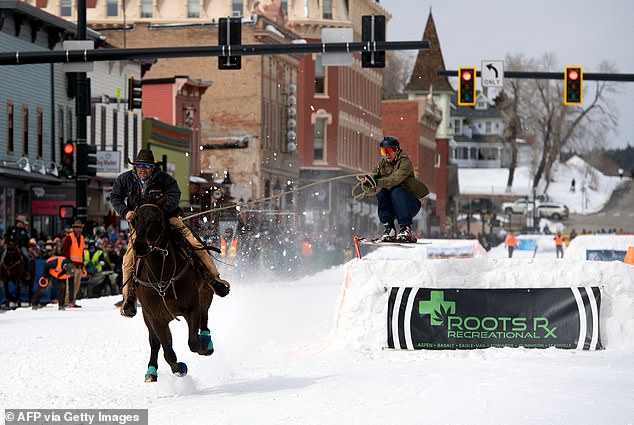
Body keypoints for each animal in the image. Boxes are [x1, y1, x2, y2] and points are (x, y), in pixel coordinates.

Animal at [130, 202, 215, 380]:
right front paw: (180, 368)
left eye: (157, 220)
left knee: (204, 316)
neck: (162, 277)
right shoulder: (155, 317)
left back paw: (206, 339)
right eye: (135, 219)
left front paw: (203, 346)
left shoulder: (191, 306)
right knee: (155, 343)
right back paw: (151, 371)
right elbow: (167, 351)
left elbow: (193, 341)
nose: (139, 247)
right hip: (148, 317)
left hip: (205, 291)